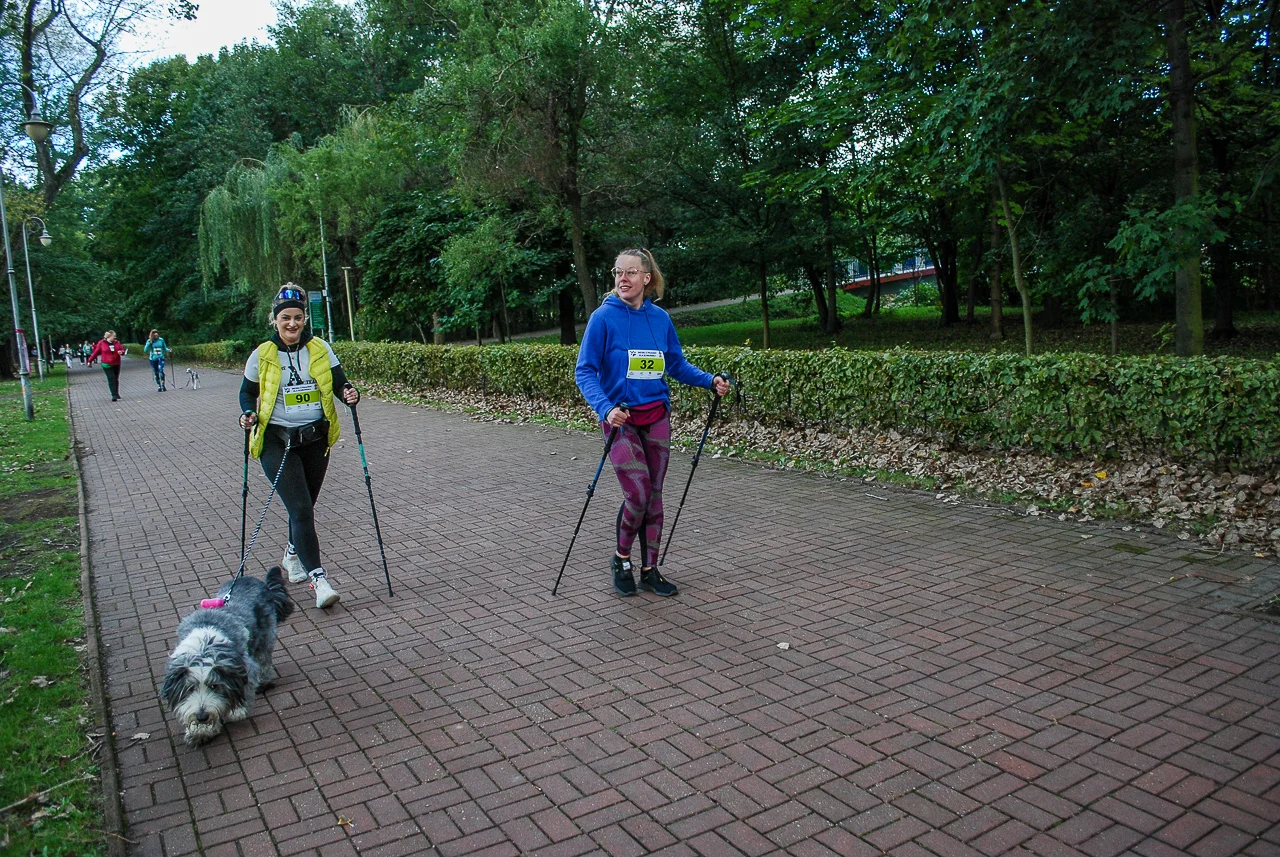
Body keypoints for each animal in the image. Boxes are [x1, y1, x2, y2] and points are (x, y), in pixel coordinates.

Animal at [161, 567, 294, 745]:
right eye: (190, 688)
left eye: (214, 686)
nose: (202, 716)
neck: (205, 645)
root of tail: (252, 579)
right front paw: (200, 732)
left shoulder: (244, 666)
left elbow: (245, 686)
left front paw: (237, 710)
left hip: (266, 635)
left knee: (264, 659)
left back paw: (265, 681)